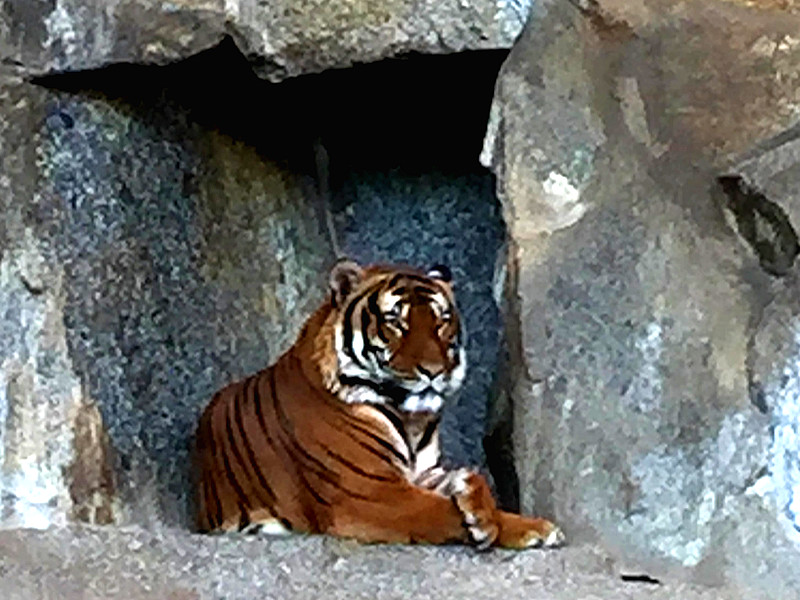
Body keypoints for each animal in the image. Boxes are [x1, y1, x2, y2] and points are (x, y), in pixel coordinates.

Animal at [193, 259, 564, 549]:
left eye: (441, 320)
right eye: (395, 320)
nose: (433, 370)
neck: (410, 419)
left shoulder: (421, 472)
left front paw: (521, 522)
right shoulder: (368, 493)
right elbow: (437, 511)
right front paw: (494, 526)